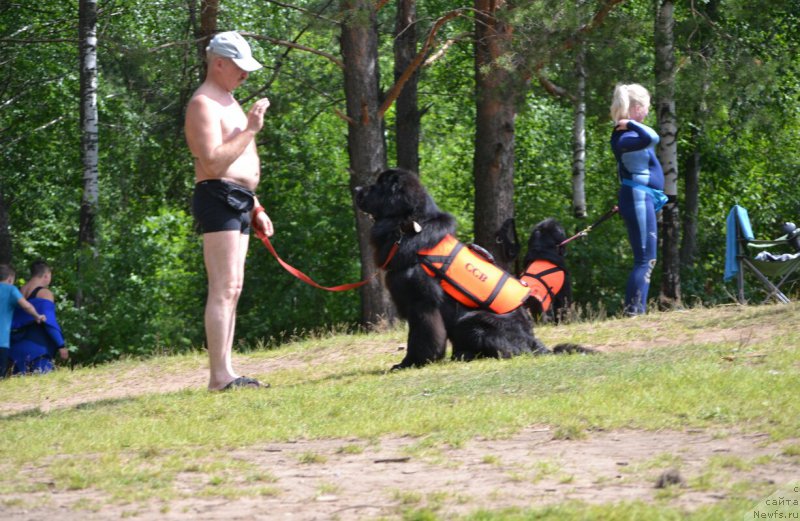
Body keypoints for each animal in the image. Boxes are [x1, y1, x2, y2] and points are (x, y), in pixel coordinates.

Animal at [356, 169, 580, 368]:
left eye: (377, 186)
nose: (356, 188)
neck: (407, 228)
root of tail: (534, 342)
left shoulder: (421, 303)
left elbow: (421, 336)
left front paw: (411, 363)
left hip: (471, 321)